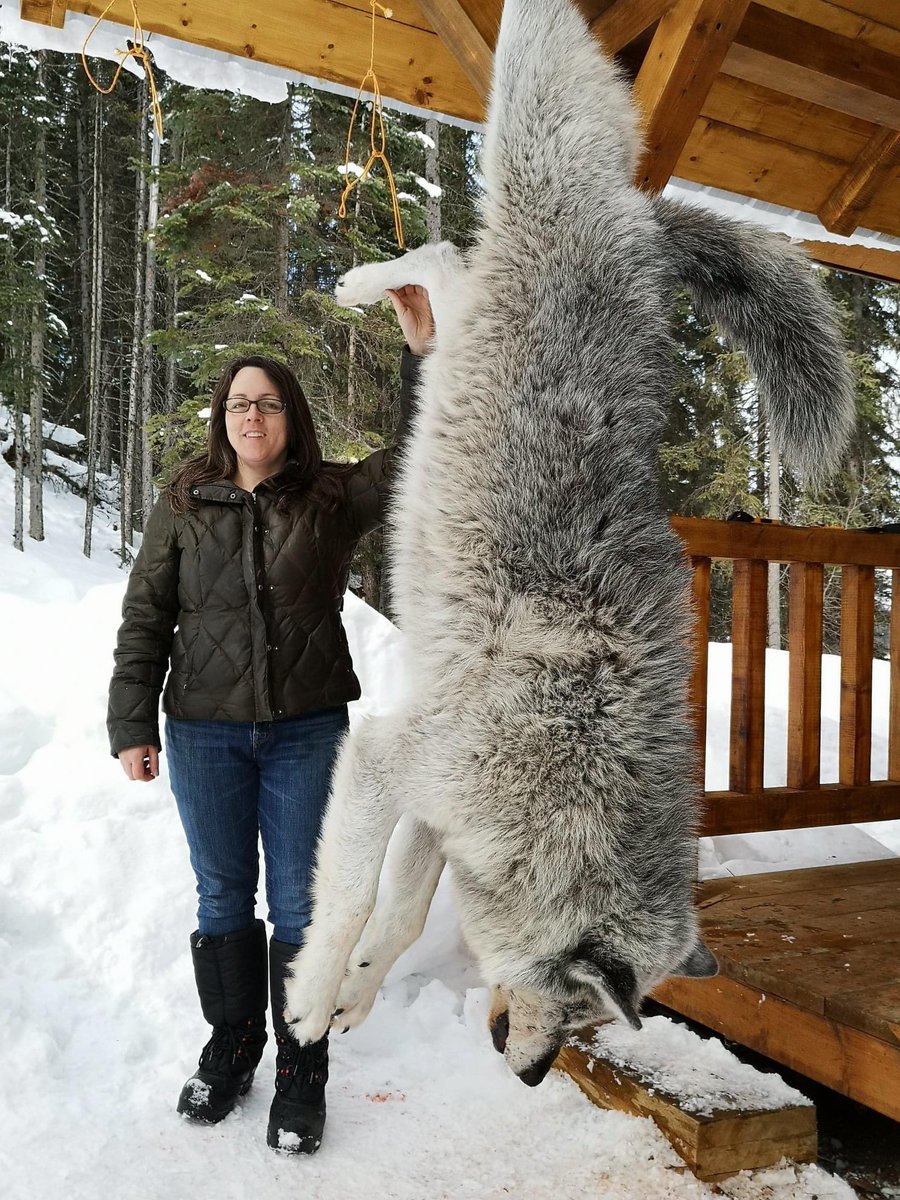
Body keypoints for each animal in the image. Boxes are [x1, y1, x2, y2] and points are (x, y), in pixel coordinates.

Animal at [283, 0, 853, 1084]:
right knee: (436, 248)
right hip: (520, 126)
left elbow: (400, 911)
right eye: (579, 1003)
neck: (569, 766)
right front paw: (303, 1003)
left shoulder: (438, 809)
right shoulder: (384, 757)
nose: (535, 1073)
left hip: (464, 320)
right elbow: (343, 901)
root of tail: (629, 221)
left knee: (444, 264)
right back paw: (355, 282)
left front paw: (351, 1002)